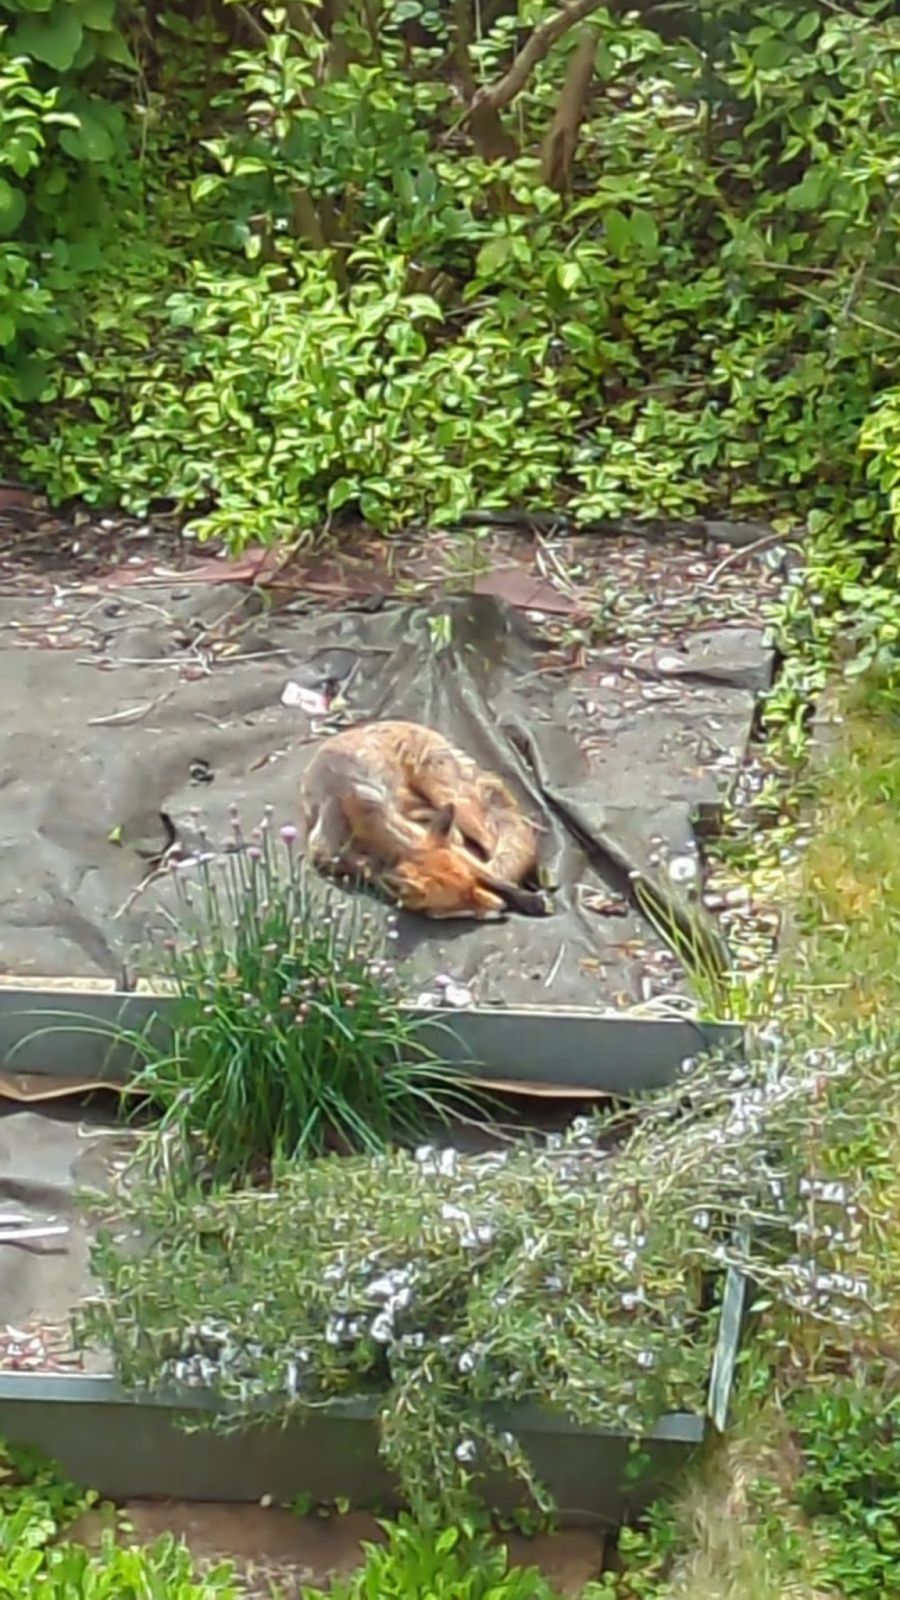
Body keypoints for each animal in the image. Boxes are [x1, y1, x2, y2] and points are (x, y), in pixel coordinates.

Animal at [299, 720, 549, 920]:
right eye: (460, 905)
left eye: (471, 886)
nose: (502, 907)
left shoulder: (441, 845)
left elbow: (493, 877)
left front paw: (529, 900)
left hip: (450, 799)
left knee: (502, 846)